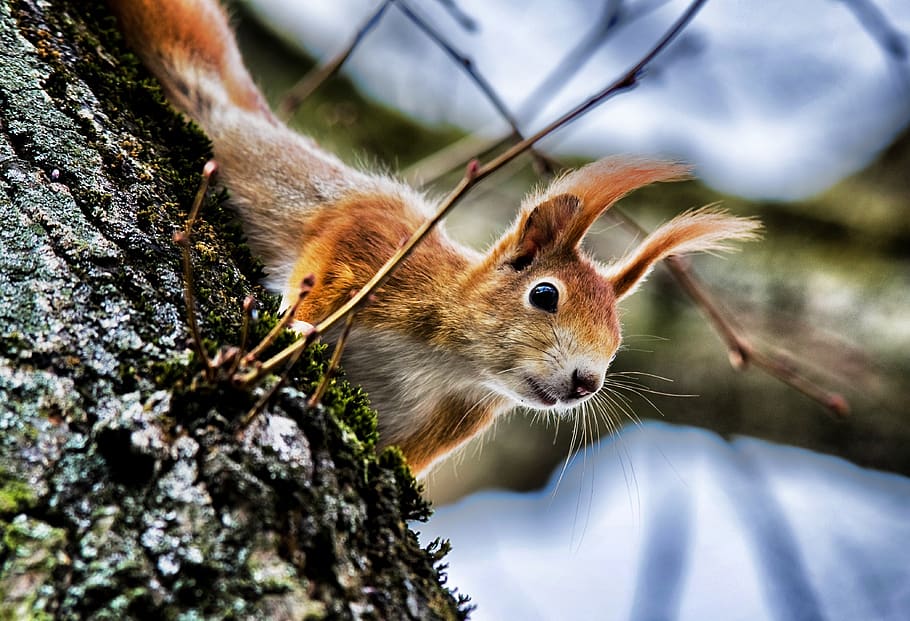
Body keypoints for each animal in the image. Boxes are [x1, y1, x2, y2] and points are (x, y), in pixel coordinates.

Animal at [109, 0, 760, 474]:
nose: (587, 382)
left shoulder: (442, 421)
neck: (446, 360)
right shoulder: (374, 246)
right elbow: (328, 258)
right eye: (544, 294)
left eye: (619, 335)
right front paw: (297, 325)